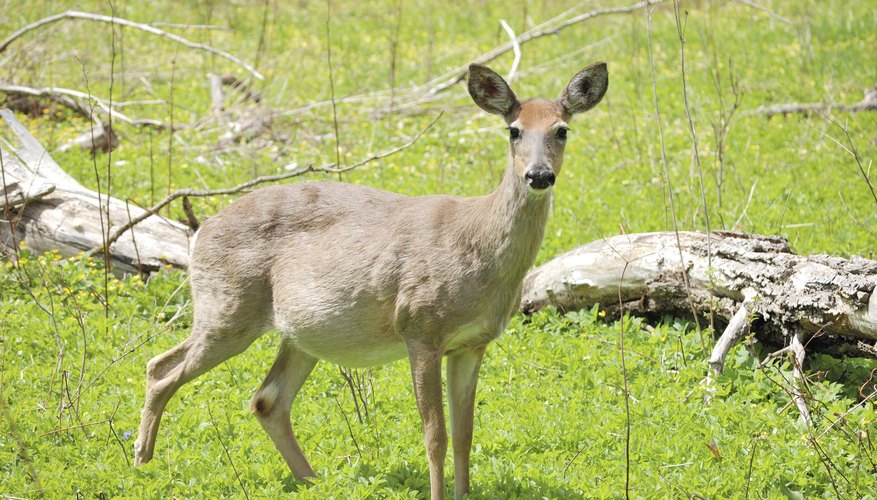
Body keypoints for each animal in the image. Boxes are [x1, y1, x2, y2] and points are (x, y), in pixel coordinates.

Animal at [132, 62, 608, 496]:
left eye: (562, 130)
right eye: (513, 130)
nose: (539, 175)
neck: (478, 245)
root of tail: (200, 231)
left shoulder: (472, 343)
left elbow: (465, 434)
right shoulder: (420, 327)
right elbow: (435, 436)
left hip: (299, 334)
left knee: (266, 399)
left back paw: (313, 481)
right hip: (227, 308)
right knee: (160, 368)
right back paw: (141, 462)